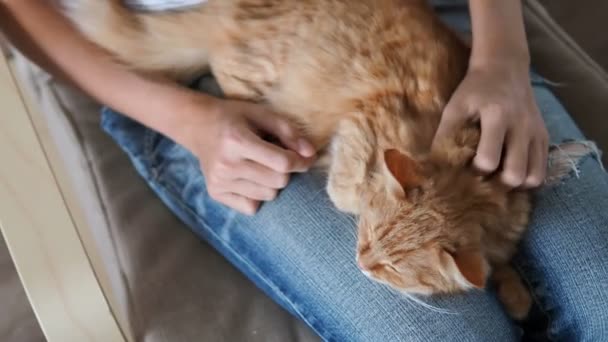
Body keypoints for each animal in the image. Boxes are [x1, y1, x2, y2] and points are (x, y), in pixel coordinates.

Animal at [64, 0, 532, 318]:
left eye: (393, 268)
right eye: (368, 240)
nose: (361, 263)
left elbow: (500, 263)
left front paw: (518, 295)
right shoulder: (366, 118)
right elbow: (348, 185)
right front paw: (349, 186)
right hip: (257, 72)